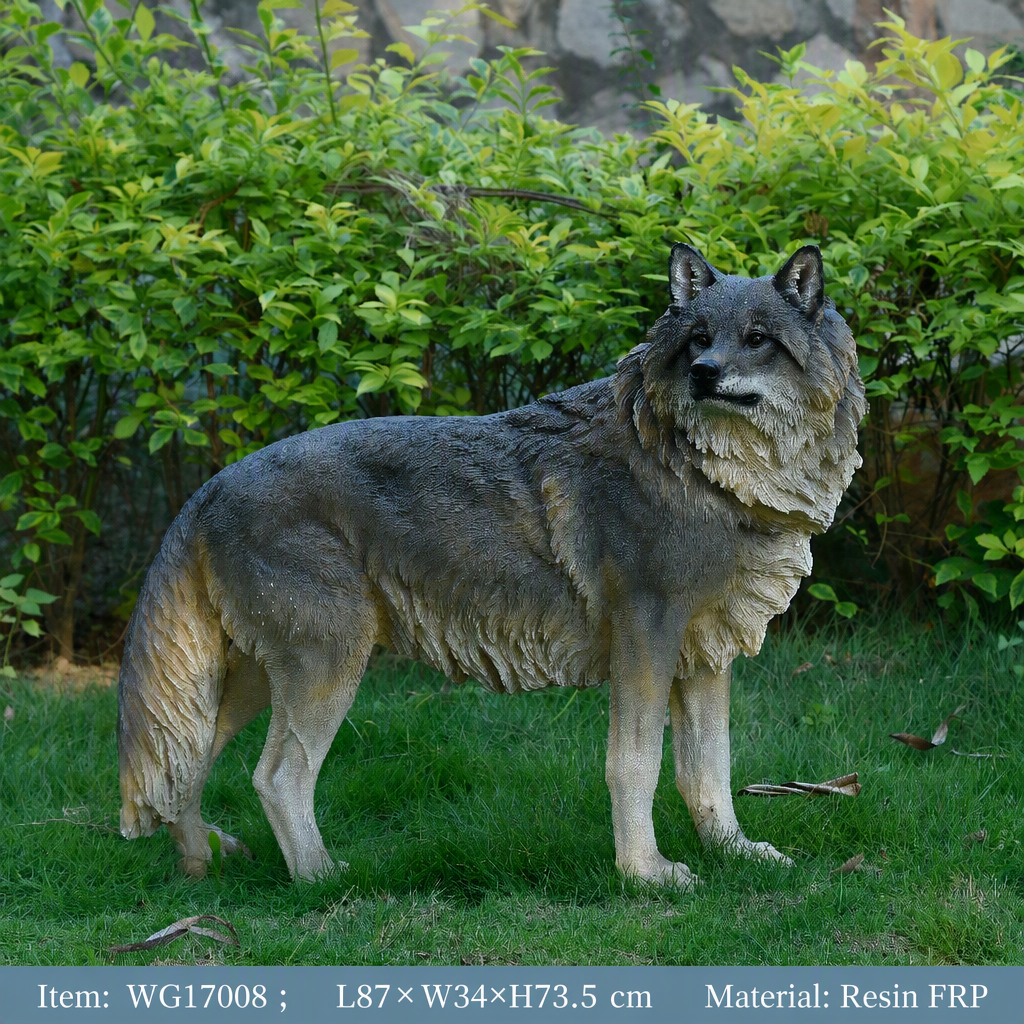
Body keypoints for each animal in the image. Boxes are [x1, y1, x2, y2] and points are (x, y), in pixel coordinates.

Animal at [118, 243, 864, 885]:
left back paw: (202, 865)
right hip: (327, 668)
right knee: (274, 779)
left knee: (182, 767)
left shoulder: (704, 655)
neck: (704, 471)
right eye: (698, 340)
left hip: (253, 679)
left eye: (758, 339)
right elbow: (634, 766)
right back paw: (322, 882)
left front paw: (736, 854)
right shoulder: (645, 641)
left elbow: (707, 772)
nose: (705, 373)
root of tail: (209, 486)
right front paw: (645, 875)